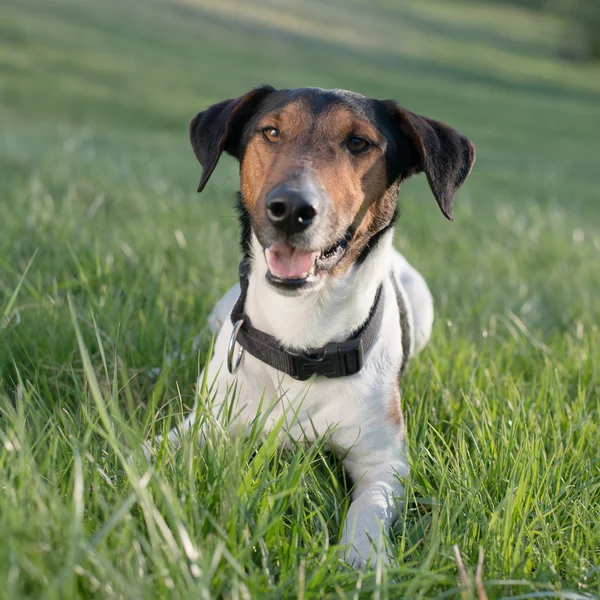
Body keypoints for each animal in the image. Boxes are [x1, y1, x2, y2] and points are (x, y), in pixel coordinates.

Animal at [157, 84, 476, 568]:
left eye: (359, 142)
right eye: (271, 132)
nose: (290, 208)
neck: (302, 333)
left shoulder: (385, 462)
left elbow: (369, 509)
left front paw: (362, 560)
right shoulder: (205, 427)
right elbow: (149, 456)